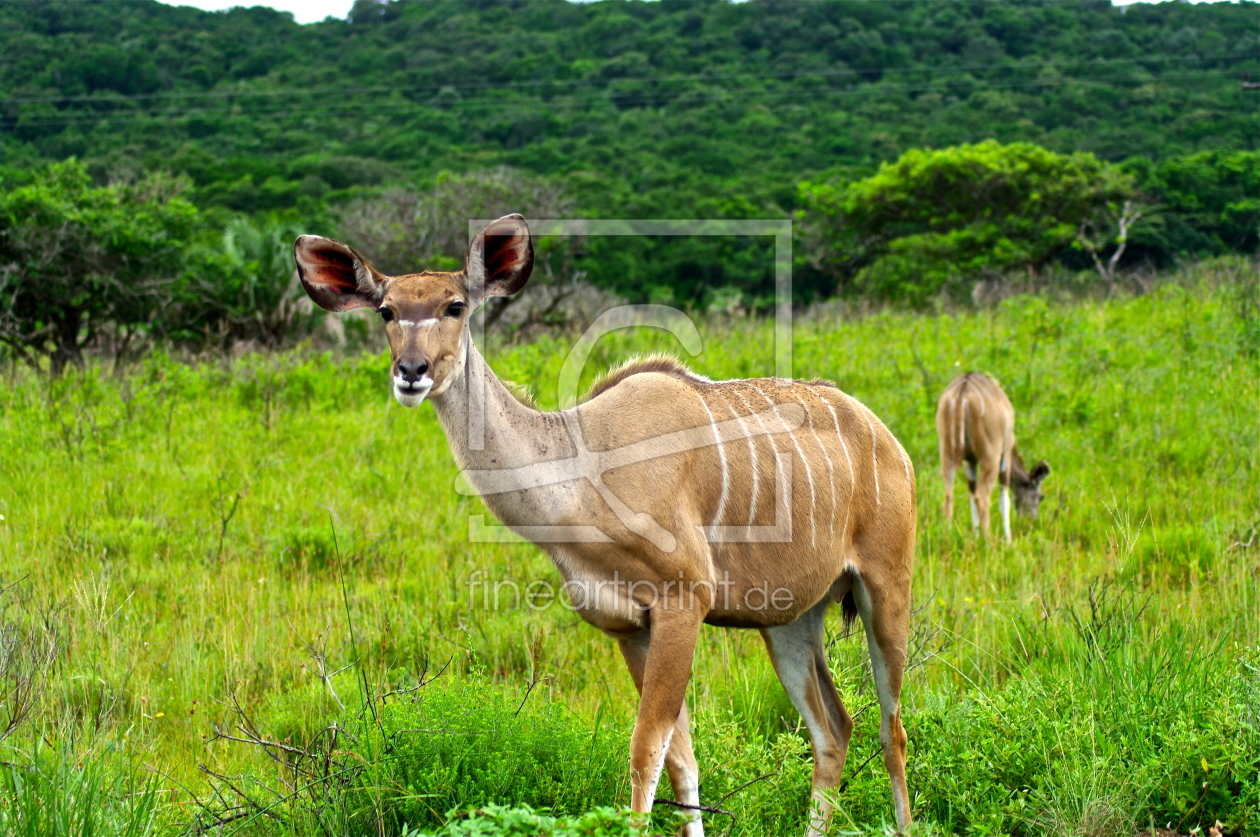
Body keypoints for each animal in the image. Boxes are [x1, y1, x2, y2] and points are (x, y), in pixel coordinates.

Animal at [292, 216, 917, 837]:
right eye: (386, 311)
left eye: (455, 305)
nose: (412, 373)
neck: (582, 469)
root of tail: (888, 440)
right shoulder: (629, 627)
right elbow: (681, 761)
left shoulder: (683, 602)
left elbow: (646, 752)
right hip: (788, 620)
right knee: (833, 729)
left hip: (885, 589)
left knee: (892, 729)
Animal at [937, 373, 1053, 542]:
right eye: (1040, 497)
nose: (1032, 522)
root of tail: (961, 396)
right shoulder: (1005, 454)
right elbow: (1004, 499)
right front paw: (1008, 540)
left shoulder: (970, 461)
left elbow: (971, 493)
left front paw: (975, 536)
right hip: (990, 456)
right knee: (982, 497)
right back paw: (987, 542)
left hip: (946, 452)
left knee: (948, 496)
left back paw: (947, 537)